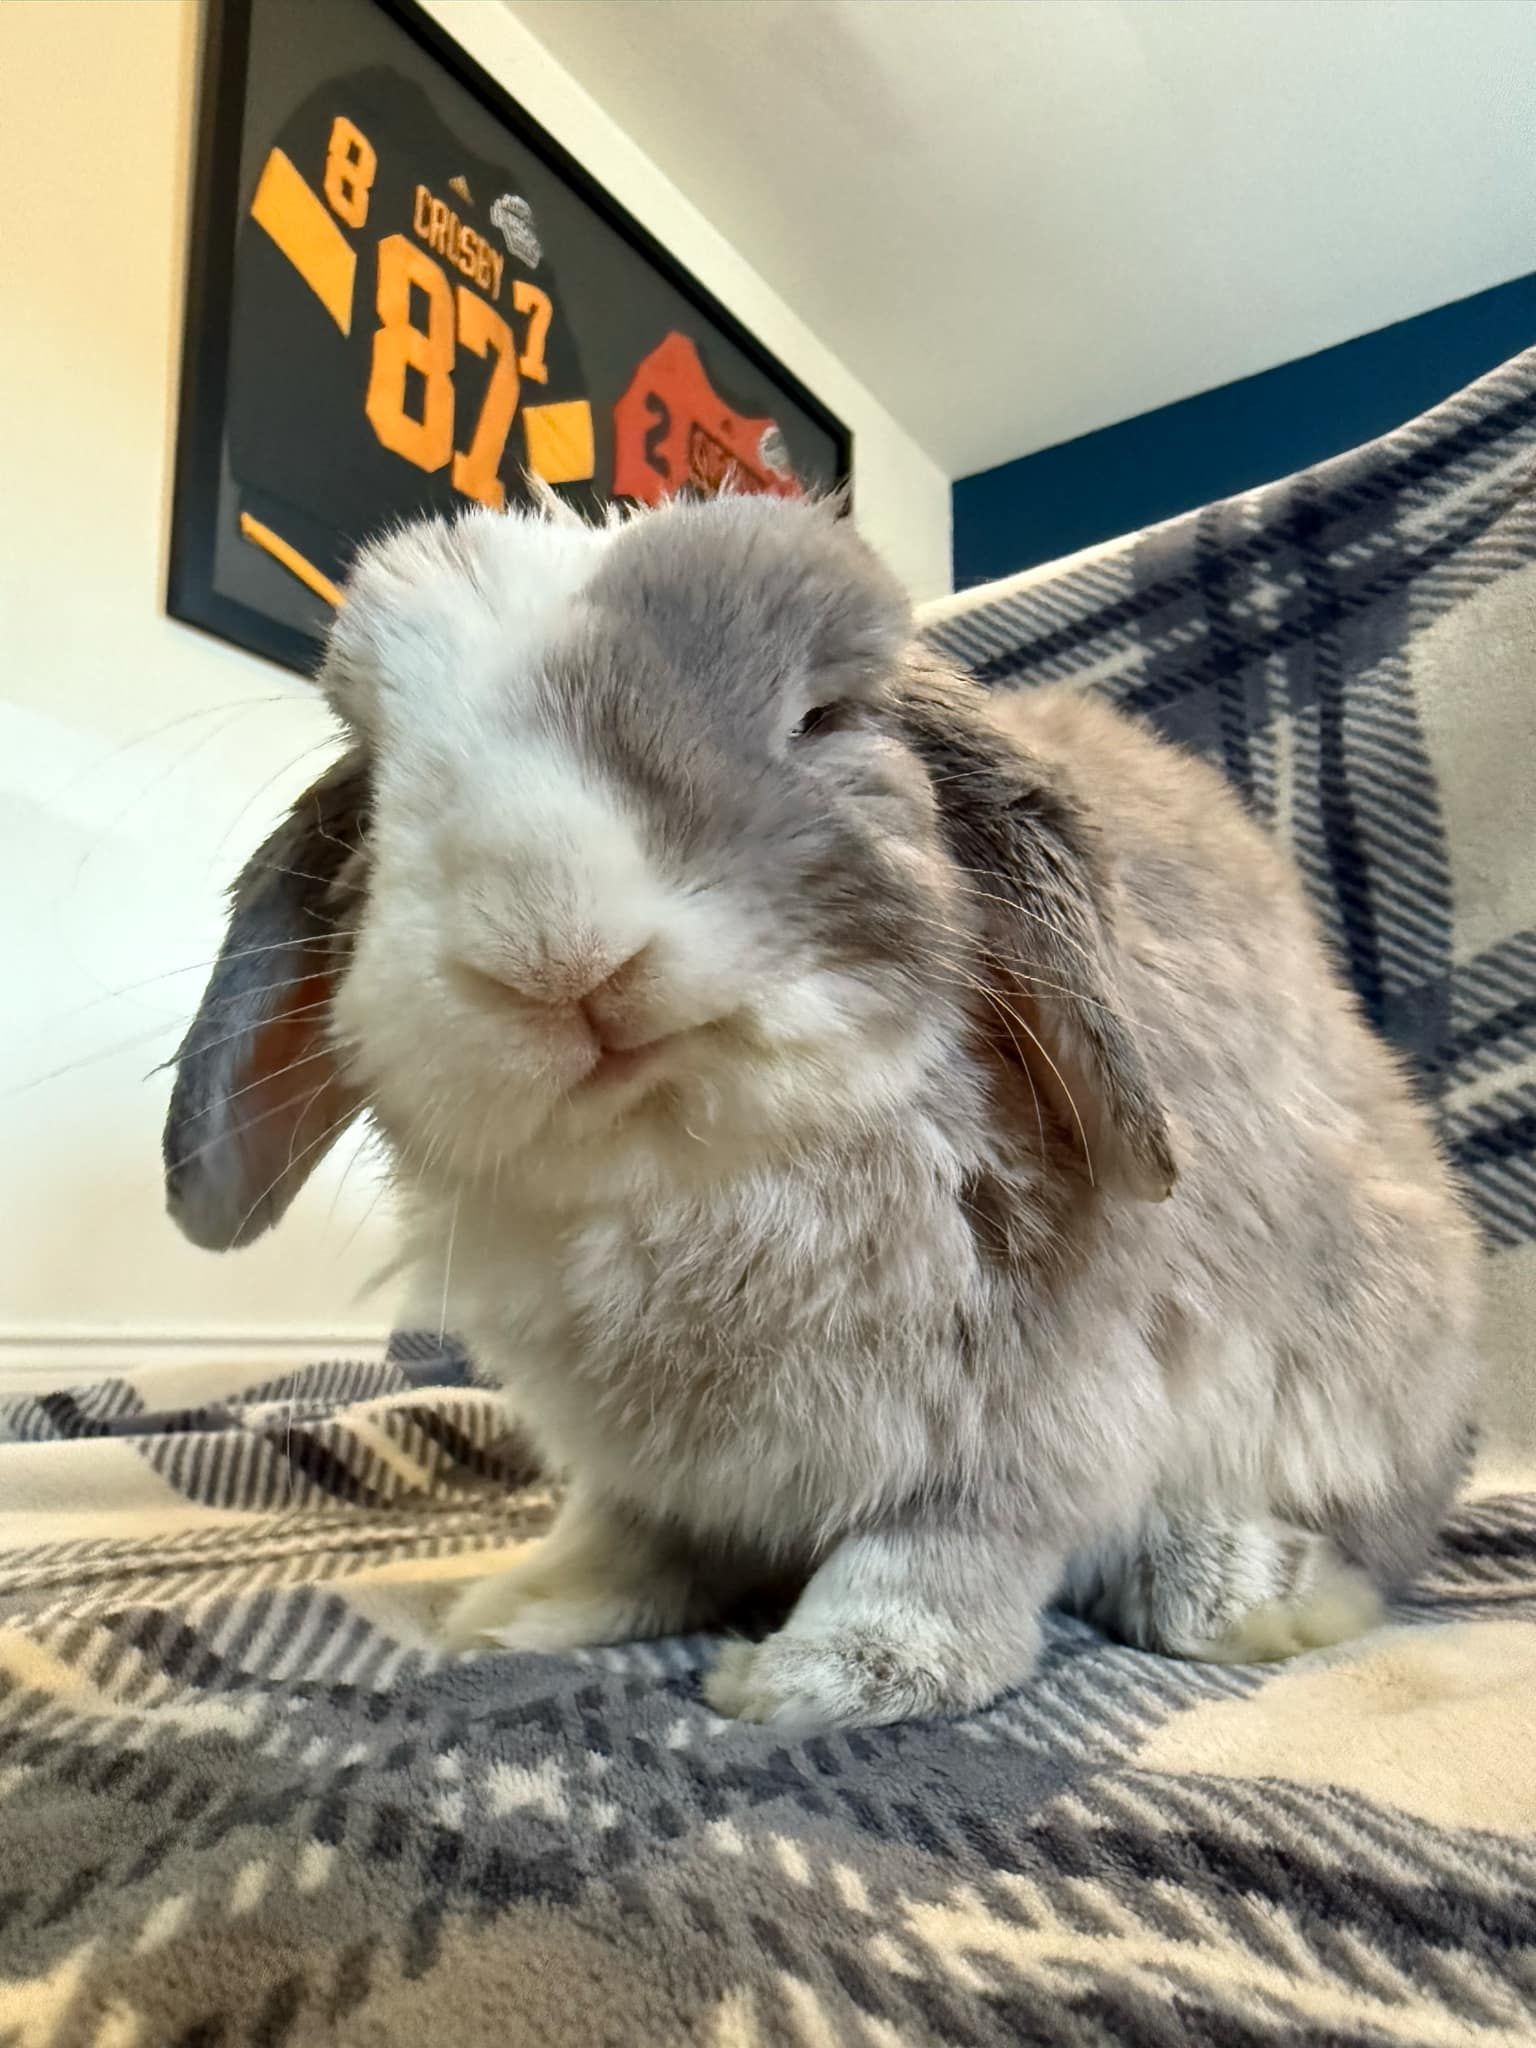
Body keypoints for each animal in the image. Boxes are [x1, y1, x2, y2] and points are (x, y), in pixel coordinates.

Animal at [163, 492, 1480, 1730]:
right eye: (381, 778)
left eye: (822, 719)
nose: (554, 952)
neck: (692, 1170)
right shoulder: (650, 1464)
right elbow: (631, 1533)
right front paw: (522, 1608)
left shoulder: (1027, 1416)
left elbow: (940, 1548)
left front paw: (830, 1675)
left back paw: (1245, 1591)